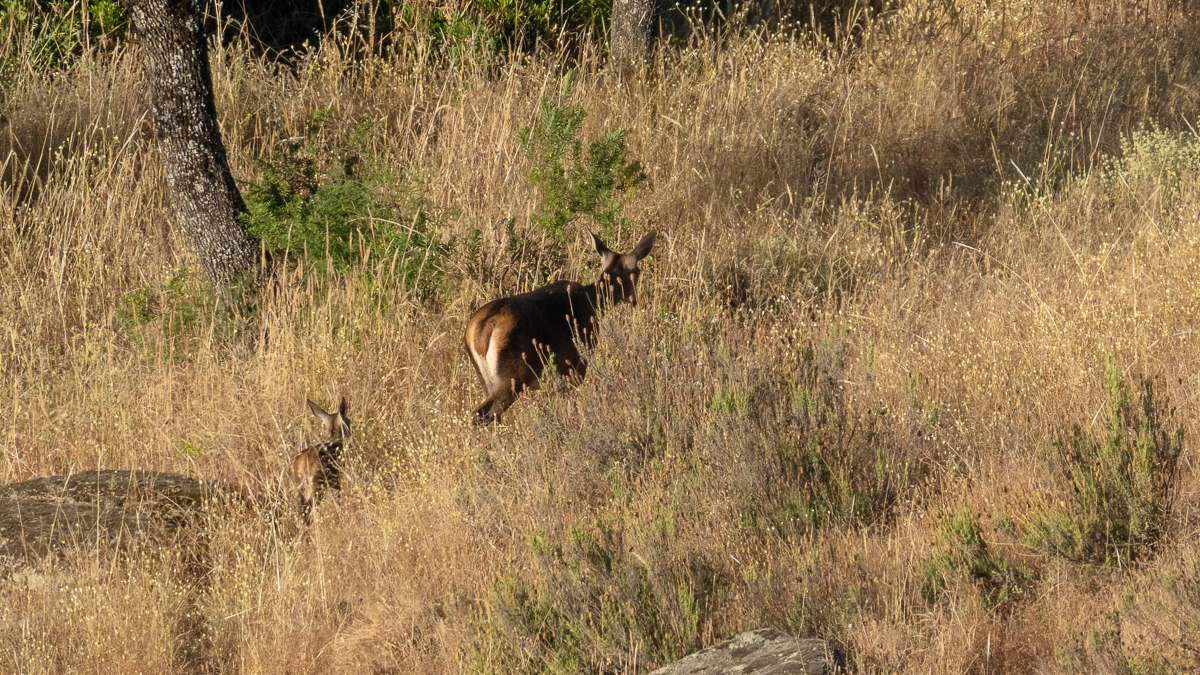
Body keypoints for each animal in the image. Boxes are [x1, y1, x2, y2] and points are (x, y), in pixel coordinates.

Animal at [464, 231, 657, 424]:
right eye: (637, 272)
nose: (634, 300)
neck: (593, 302)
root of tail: (480, 330)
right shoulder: (579, 361)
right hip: (512, 376)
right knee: (483, 414)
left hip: (486, 379)